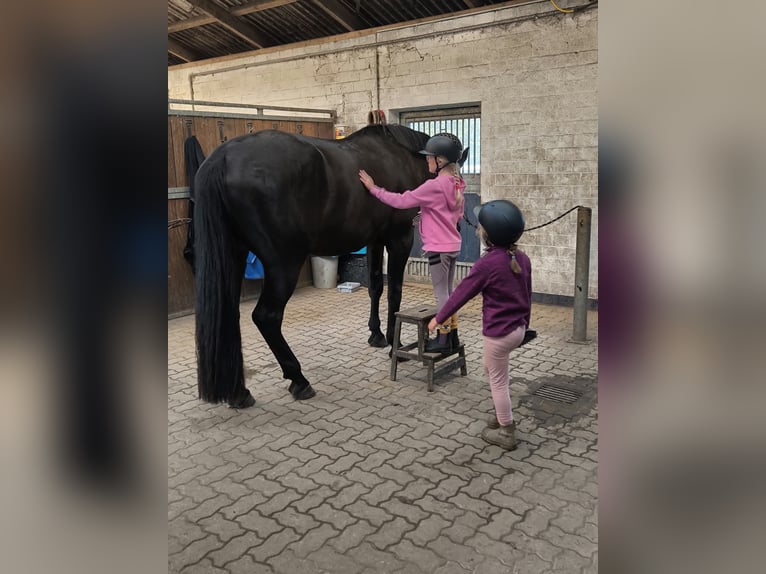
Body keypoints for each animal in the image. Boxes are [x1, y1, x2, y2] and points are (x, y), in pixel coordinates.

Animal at [193, 123, 433, 408]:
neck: (400, 156)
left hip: (234, 256)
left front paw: (376, 335)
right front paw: (396, 347)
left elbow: (376, 286)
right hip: (284, 264)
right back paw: (299, 380)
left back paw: (240, 393)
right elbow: (395, 292)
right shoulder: (399, 239)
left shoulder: (374, 241)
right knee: (266, 317)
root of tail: (223, 157)